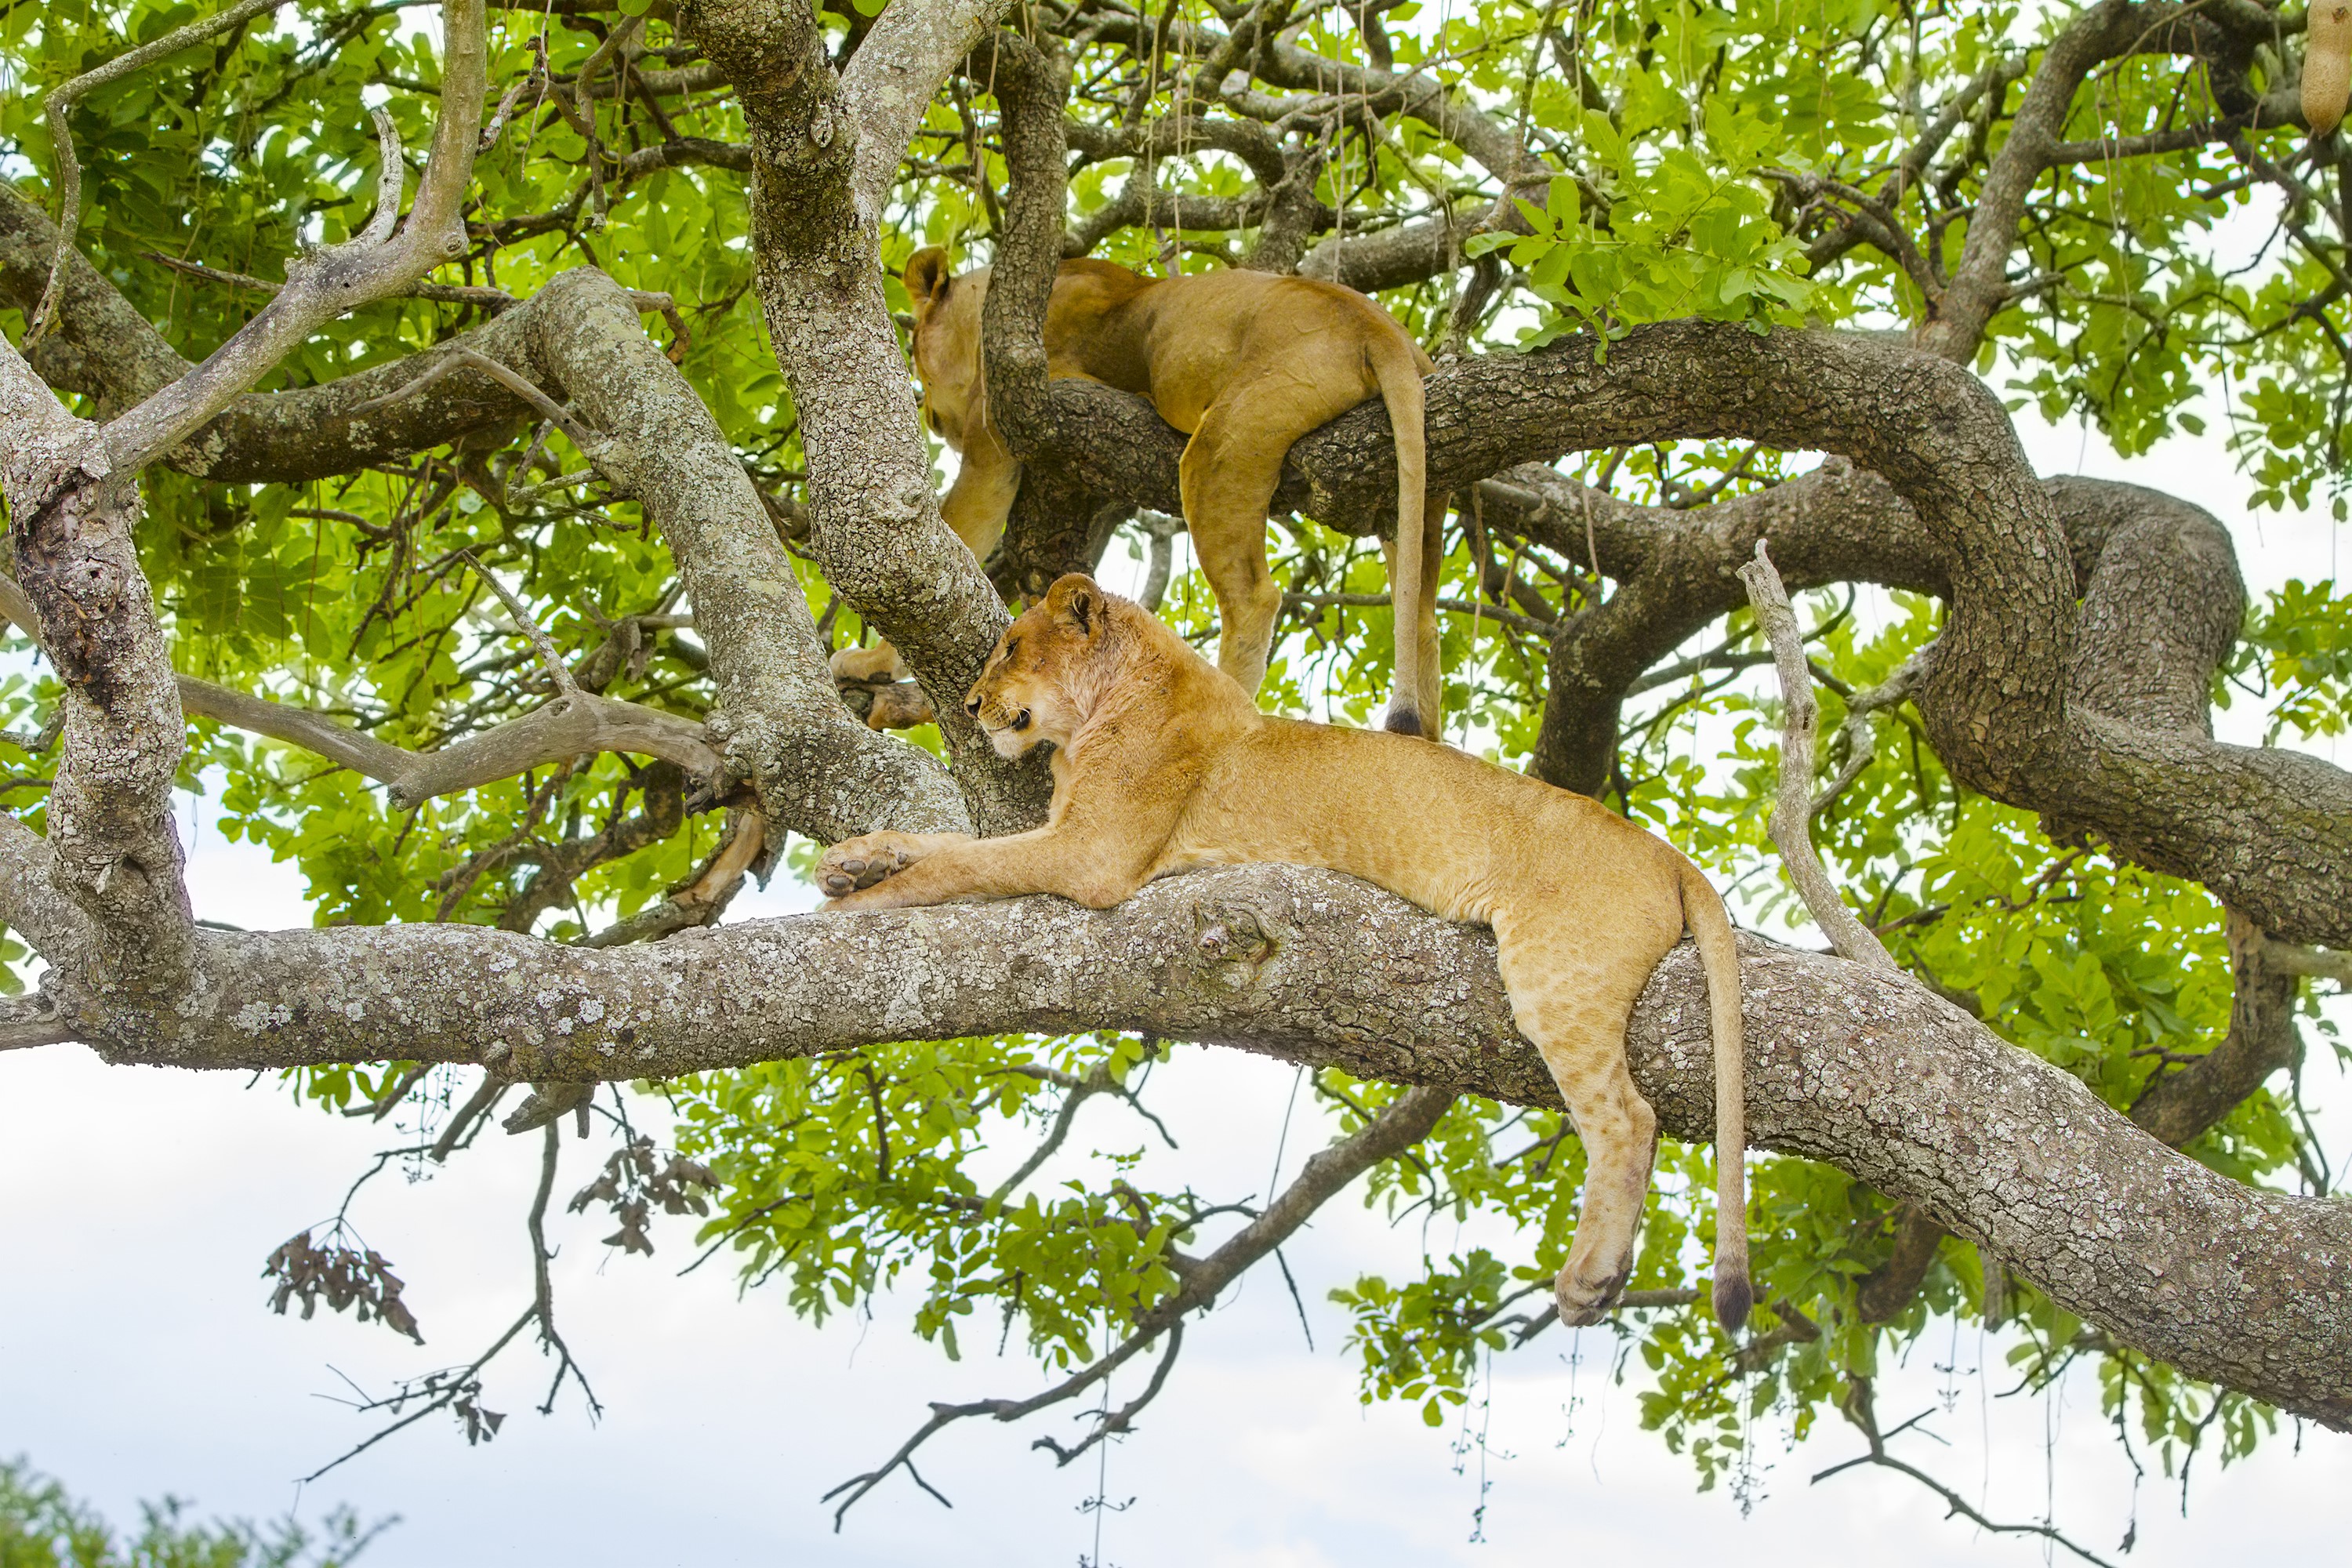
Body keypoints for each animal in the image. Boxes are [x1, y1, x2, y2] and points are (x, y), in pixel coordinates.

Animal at [818, 573, 1752, 1330]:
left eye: (1012, 648)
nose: (973, 706)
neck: (1115, 703)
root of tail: (1666, 853)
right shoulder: (1065, 835)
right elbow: (941, 840)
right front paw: (852, 859)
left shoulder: (1093, 854)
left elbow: (956, 863)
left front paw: (857, 901)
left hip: (1556, 973)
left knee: (1628, 1118)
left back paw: (1591, 1277)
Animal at [832, 249, 1445, 737]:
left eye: (914, 347)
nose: (934, 421)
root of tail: (1378, 325)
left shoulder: (995, 436)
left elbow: (953, 537)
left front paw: (871, 660)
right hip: (1416, 498)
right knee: (1421, 617)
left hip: (1221, 442)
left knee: (1252, 598)